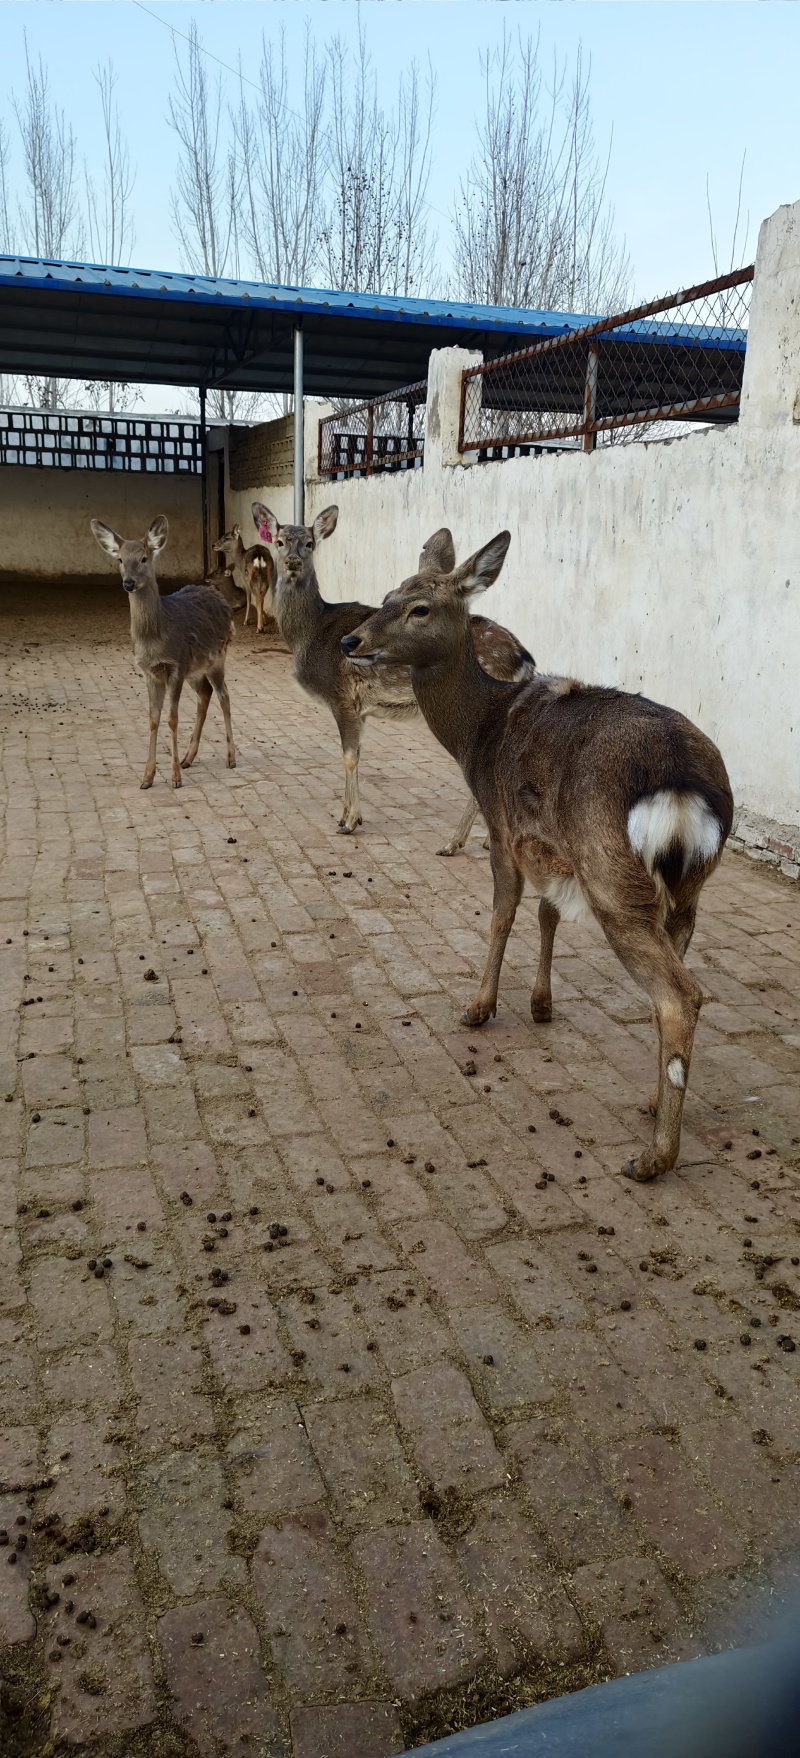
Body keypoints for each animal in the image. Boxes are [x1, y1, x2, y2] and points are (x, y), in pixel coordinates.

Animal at [90, 514, 236, 789]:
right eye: (120, 559)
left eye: (144, 558)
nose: (129, 583)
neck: (155, 639)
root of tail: (221, 599)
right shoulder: (150, 671)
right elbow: (153, 718)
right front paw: (147, 777)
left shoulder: (176, 665)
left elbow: (172, 718)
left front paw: (175, 777)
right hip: (196, 668)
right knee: (205, 693)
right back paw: (189, 758)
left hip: (217, 656)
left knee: (224, 695)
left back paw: (231, 757)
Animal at [250, 503, 535, 848]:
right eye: (279, 542)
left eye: (309, 543)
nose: (292, 561)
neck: (309, 635)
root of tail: (525, 659)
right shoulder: (360, 708)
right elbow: (357, 754)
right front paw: (345, 815)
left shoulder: (342, 696)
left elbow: (348, 756)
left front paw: (349, 822)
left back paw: (454, 842)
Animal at [341, 531, 734, 1184]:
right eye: (389, 593)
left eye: (419, 607)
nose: (352, 641)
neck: (476, 732)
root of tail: (680, 787)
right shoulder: (552, 845)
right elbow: (548, 913)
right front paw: (540, 1003)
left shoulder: (501, 824)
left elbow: (502, 915)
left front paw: (479, 1006)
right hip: (688, 887)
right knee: (672, 985)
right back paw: (654, 1101)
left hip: (612, 877)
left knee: (681, 994)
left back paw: (654, 1156)